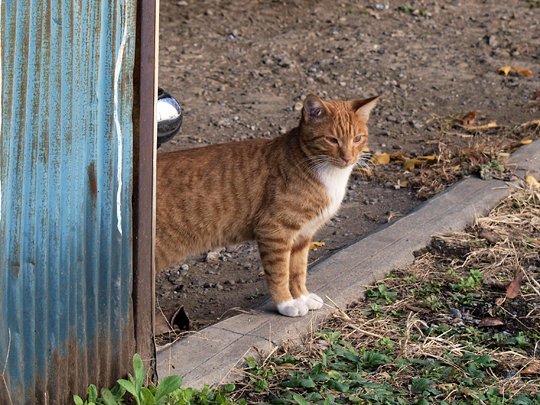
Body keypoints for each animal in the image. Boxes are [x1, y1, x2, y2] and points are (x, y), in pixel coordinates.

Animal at [154, 94, 378, 316]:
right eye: (332, 140)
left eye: (357, 138)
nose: (348, 158)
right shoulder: (274, 231)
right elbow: (280, 273)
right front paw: (287, 303)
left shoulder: (302, 236)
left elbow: (298, 271)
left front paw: (302, 297)